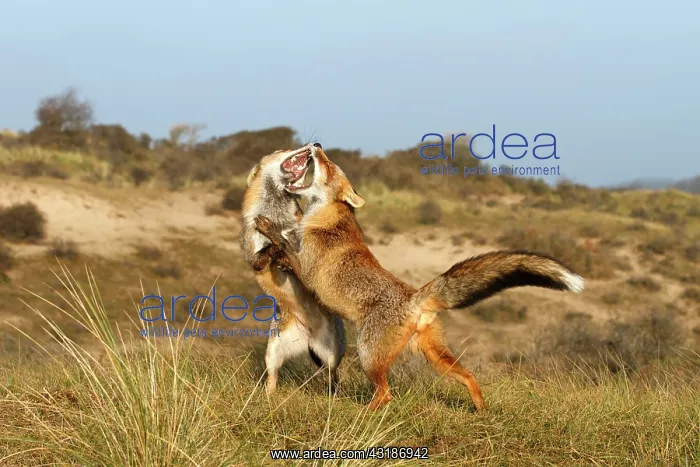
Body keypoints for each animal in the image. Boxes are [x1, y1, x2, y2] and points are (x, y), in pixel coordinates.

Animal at [240, 144, 346, 395]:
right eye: (282, 149)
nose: (316, 145)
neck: (277, 217)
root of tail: (308, 336)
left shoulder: (305, 243)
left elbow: (291, 246)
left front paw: (281, 248)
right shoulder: (253, 258)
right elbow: (263, 253)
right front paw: (273, 247)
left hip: (332, 355)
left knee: (333, 375)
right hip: (272, 351)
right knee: (272, 376)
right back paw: (268, 397)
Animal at [253, 143, 585, 411]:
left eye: (329, 166)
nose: (317, 146)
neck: (325, 218)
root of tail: (414, 298)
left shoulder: (306, 267)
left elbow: (283, 244)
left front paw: (266, 228)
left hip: (368, 355)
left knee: (386, 393)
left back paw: (363, 414)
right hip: (436, 357)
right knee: (469, 376)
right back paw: (480, 409)